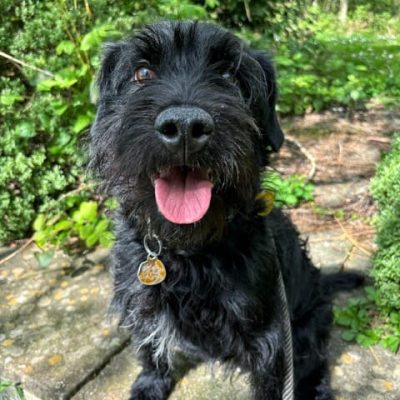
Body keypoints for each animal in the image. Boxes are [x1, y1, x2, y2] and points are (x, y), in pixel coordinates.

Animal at [89, 21, 363, 400]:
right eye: (142, 72)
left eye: (229, 75)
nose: (185, 126)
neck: (191, 251)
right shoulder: (141, 301)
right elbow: (149, 347)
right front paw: (149, 384)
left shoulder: (270, 341)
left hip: (309, 323)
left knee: (315, 363)